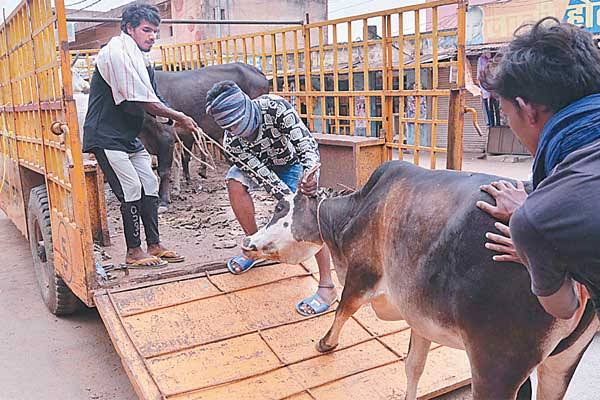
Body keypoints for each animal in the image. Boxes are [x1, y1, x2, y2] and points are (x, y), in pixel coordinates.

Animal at [241, 160, 596, 400]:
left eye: (279, 207)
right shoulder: (419, 314)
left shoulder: (361, 274)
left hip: (497, 364)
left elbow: (343, 309)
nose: (248, 242)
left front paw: (325, 344)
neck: (355, 212)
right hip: (563, 360)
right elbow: (413, 365)